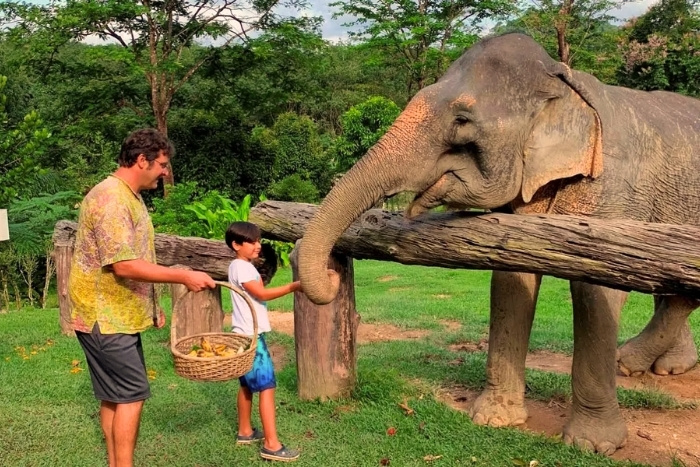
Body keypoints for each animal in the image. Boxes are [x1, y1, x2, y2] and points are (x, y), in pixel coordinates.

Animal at [296, 32, 700, 455]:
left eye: (462, 120)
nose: (331, 275)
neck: (565, 82)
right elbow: (511, 278)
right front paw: (493, 419)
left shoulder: (613, 189)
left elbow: (597, 291)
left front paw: (591, 445)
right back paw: (653, 366)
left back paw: (631, 362)